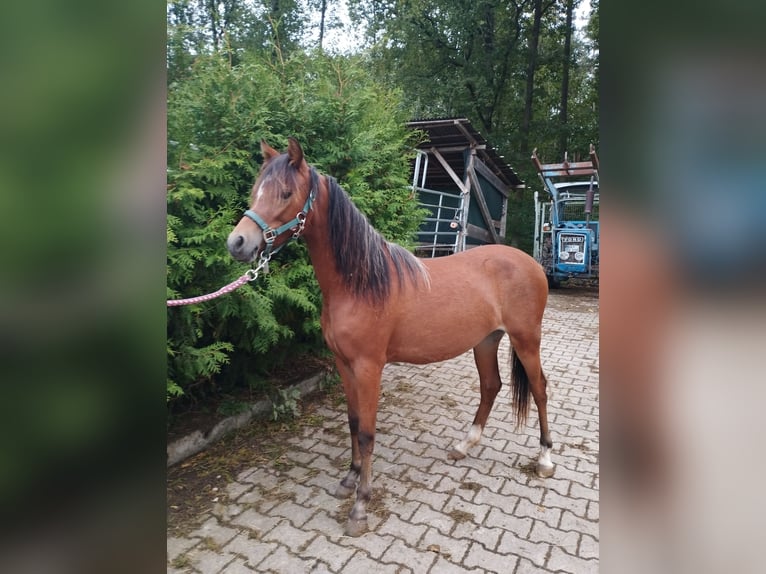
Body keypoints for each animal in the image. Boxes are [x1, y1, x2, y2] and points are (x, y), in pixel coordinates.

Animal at [225, 140, 556, 540]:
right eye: (256, 189)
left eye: (286, 193)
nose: (238, 243)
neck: (361, 283)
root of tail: (531, 264)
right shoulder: (344, 365)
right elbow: (353, 422)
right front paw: (348, 480)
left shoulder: (369, 367)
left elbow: (368, 433)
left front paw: (360, 507)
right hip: (486, 341)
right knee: (491, 386)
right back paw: (463, 446)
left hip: (527, 340)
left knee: (539, 388)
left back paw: (545, 458)